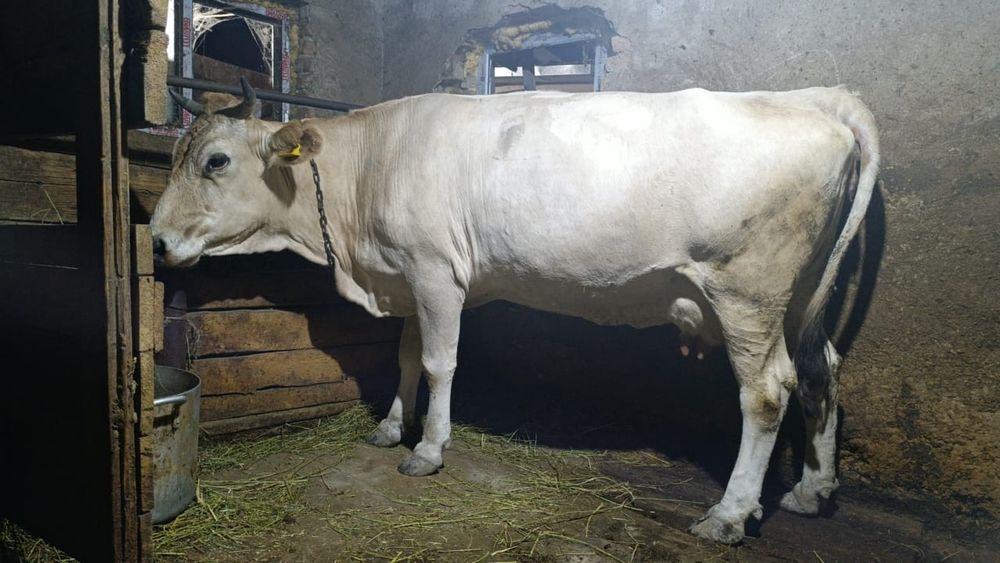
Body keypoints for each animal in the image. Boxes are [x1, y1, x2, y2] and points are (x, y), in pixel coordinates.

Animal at [152, 78, 879, 544]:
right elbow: (405, 356)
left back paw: (729, 513)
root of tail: (816, 97)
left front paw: (428, 448)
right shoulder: (409, 273)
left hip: (746, 289)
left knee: (767, 391)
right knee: (821, 370)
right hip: (800, 295)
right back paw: (811, 490)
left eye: (215, 160)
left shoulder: (434, 270)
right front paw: (391, 427)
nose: (155, 239)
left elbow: (440, 363)